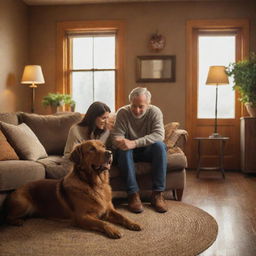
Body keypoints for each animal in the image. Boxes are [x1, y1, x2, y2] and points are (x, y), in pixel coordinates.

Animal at [3, 140, 141, 238]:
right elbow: (102, 223)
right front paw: (113, 230)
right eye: (91, 149)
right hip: (24, 203)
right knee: (8, 217)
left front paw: (133, 223)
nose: (109, 153)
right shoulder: (82, 217)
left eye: (103, 146)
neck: (96, 185)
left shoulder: (108, 210)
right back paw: (17, 221)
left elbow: (122, 216)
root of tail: (15, 189)